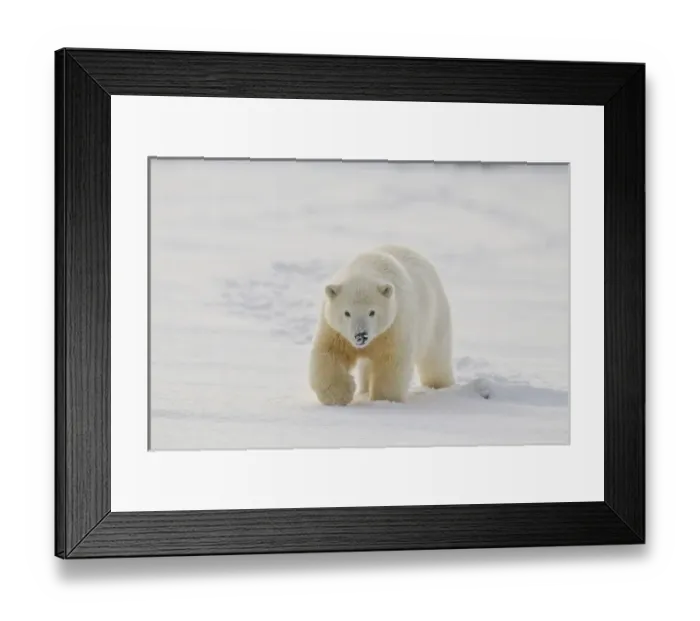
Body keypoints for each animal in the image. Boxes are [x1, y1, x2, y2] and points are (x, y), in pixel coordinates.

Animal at [309, 245, 455, 405]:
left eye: (372, 312)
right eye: (347, 313)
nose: (361, 335)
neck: (364, 268)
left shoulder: (394, 326)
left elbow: (391, 360)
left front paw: (384, 400)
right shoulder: (335, 331)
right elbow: (329, 352)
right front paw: (339, 395)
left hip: (435, 317)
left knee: (435, 356)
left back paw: (439, 384)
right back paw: (364, 389)